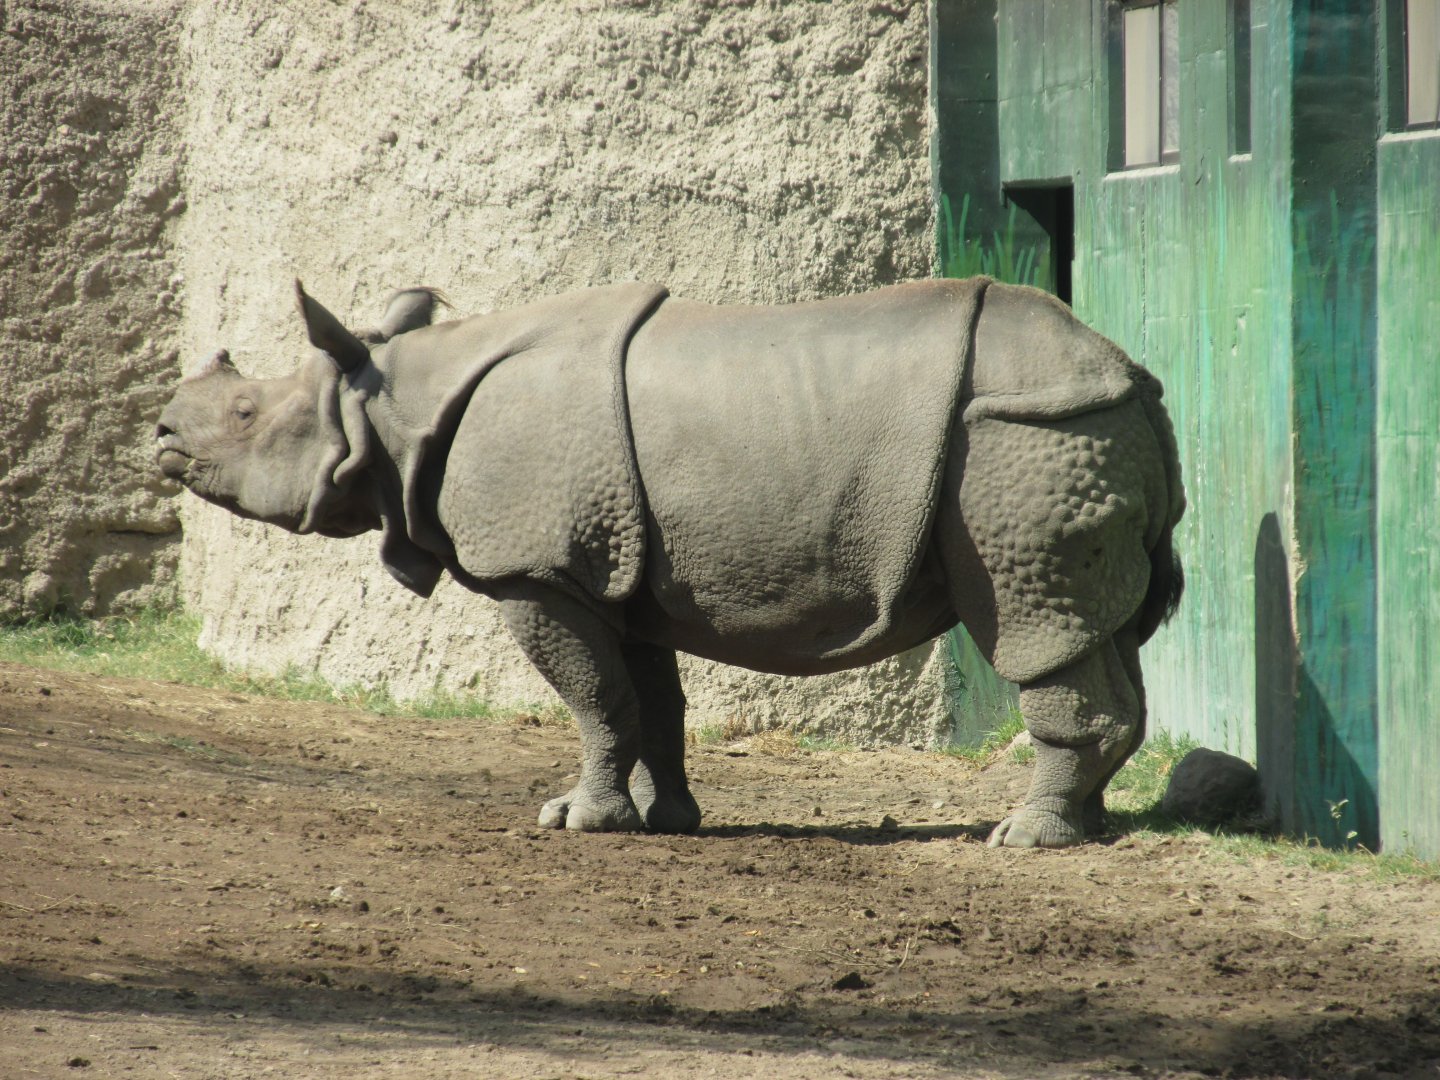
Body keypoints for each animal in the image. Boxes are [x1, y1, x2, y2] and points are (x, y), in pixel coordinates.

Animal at [155, 277, 1185, 848]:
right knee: (1106, 628)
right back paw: (1088, 828)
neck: (394, 402)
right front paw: (666, 821)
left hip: (1024, 436)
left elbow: (593, 695)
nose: (162, 434)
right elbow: (649, 699)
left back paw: (1023, 839)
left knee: (1033, 618)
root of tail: (1128, 373)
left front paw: (579, 824)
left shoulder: (540, 568)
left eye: (246, 414)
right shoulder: (618, 571)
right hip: (1076, 429)